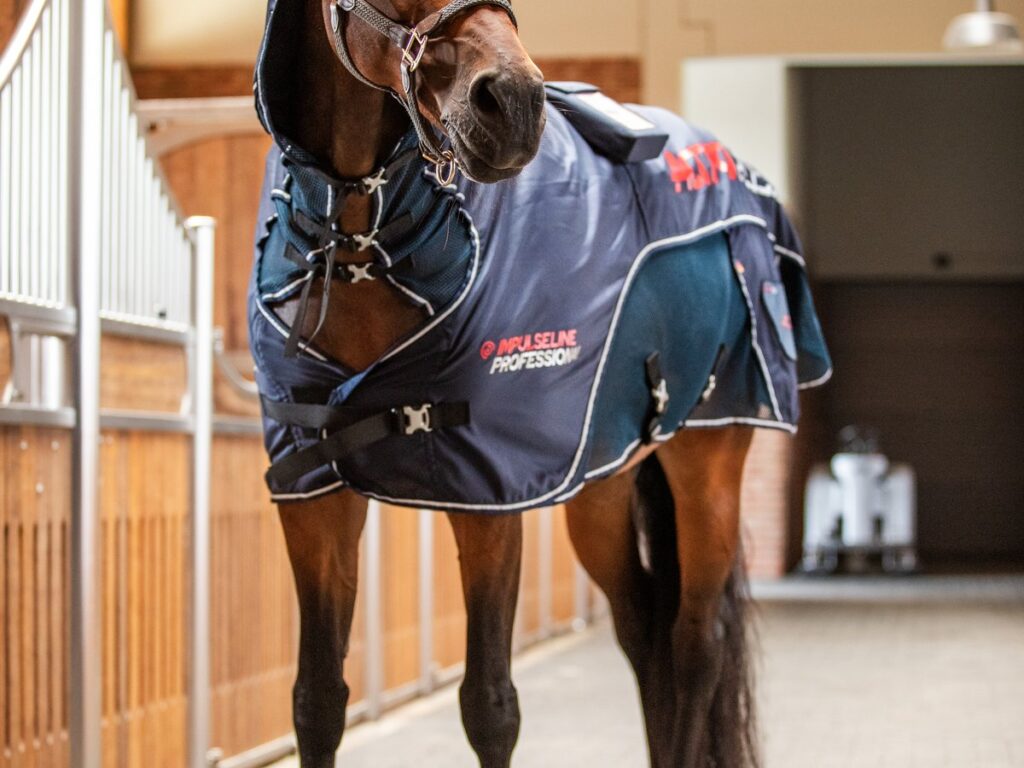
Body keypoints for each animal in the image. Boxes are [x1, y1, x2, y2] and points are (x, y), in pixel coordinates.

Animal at [247, 1, 830, 766]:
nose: (517, 105)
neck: (358, 246)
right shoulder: (312, 491)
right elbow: (315, 702)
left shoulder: (491, 498)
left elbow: (490, 705)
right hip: (606, 487)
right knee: (646, 632)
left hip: (709, 464)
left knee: (696, 644)